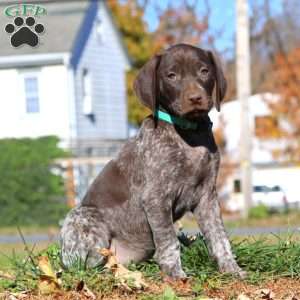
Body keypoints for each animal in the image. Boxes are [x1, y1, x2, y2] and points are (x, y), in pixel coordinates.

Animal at [59, 44, 245, 278]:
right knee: (83, 267)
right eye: (171, 75)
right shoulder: (156, 198)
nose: (195, 98)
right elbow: (169, 241)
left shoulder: (207, 197)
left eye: (204, 71)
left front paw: (231, 268)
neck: (188, 133)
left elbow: (219, 236)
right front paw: (175, 275)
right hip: (84, 218)